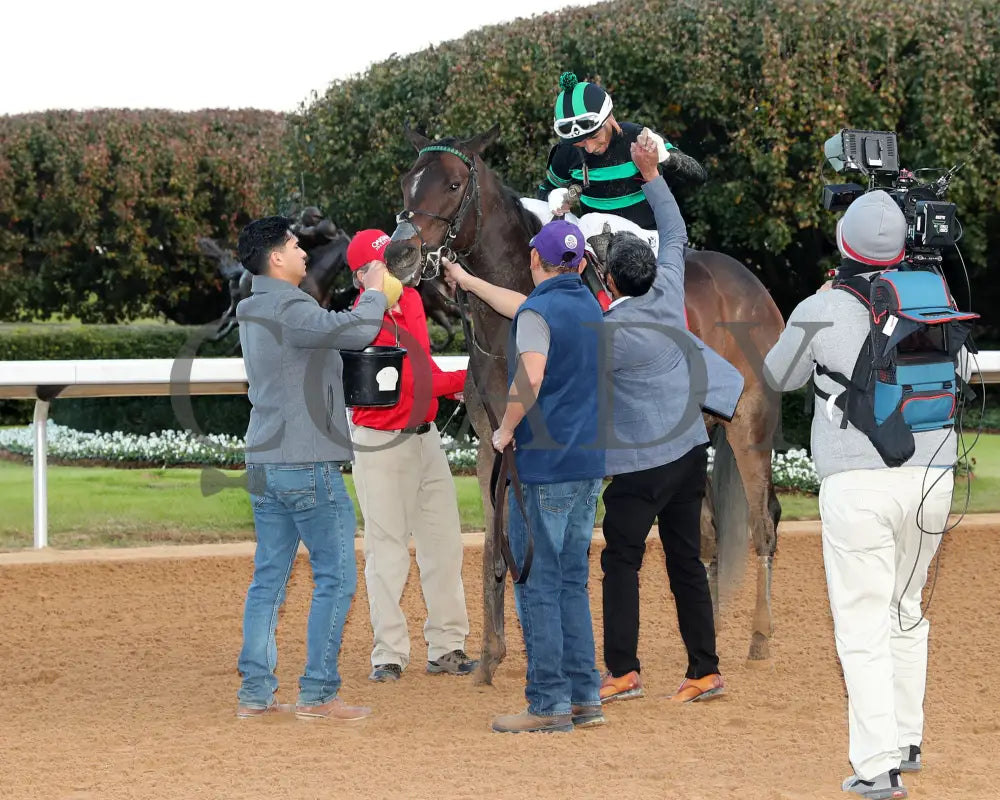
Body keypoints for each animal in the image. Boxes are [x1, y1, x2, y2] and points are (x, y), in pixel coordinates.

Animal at [382, 123, 788, 680]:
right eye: (407, 182)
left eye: (451, 184)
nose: (398, 254)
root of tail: (751, 284)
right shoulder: (494, 447)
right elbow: (496, 549)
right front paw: (491, 656)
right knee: (708, 529)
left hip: (750, 424)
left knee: (762, 521)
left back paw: (760, 638)